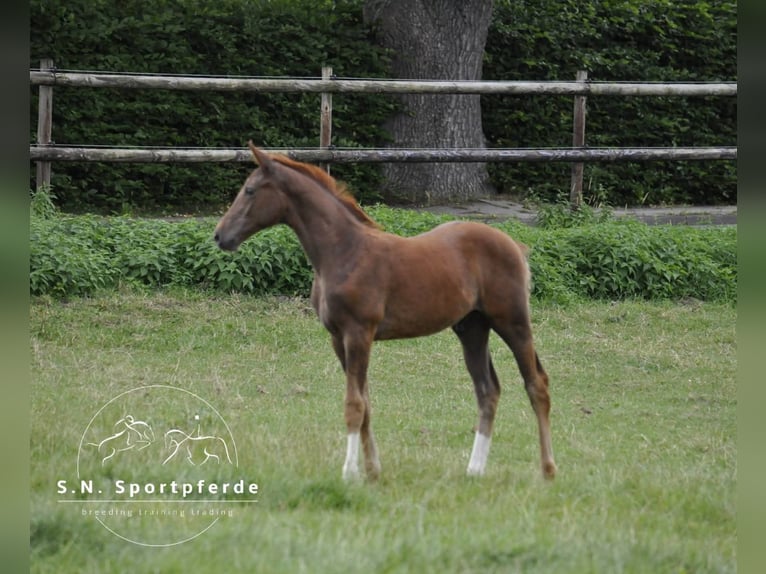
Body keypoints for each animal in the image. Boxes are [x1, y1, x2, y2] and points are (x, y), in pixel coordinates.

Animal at [214, 142, 556, 482]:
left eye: (250, 190)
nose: (220, 236)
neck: (344, 252)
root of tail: (514, 245)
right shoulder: (338, 339)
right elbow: (365, 402)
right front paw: (373, 470)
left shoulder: (359, 334)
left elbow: (354, 404)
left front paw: (349, 472)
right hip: (472, 328)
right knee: (487, 390)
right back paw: (474, 469)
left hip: (512, 321)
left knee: (536, 384)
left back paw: (547, 469)